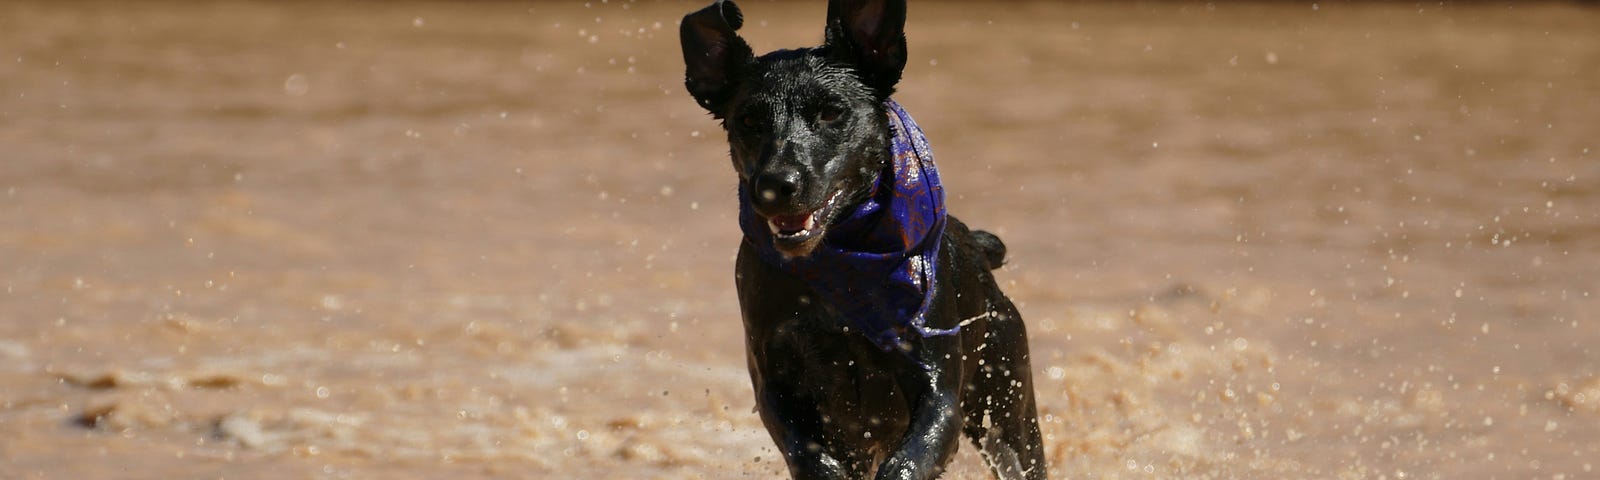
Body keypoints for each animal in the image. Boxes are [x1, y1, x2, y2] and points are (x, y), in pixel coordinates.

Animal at [678, 1, 1043, 476]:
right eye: (749, 120)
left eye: (831, 112)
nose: (775, 184)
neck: (842, 267)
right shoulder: (774, 381)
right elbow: (808, 450)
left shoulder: (939, 388)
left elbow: (913, 455)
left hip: (1006, 402)